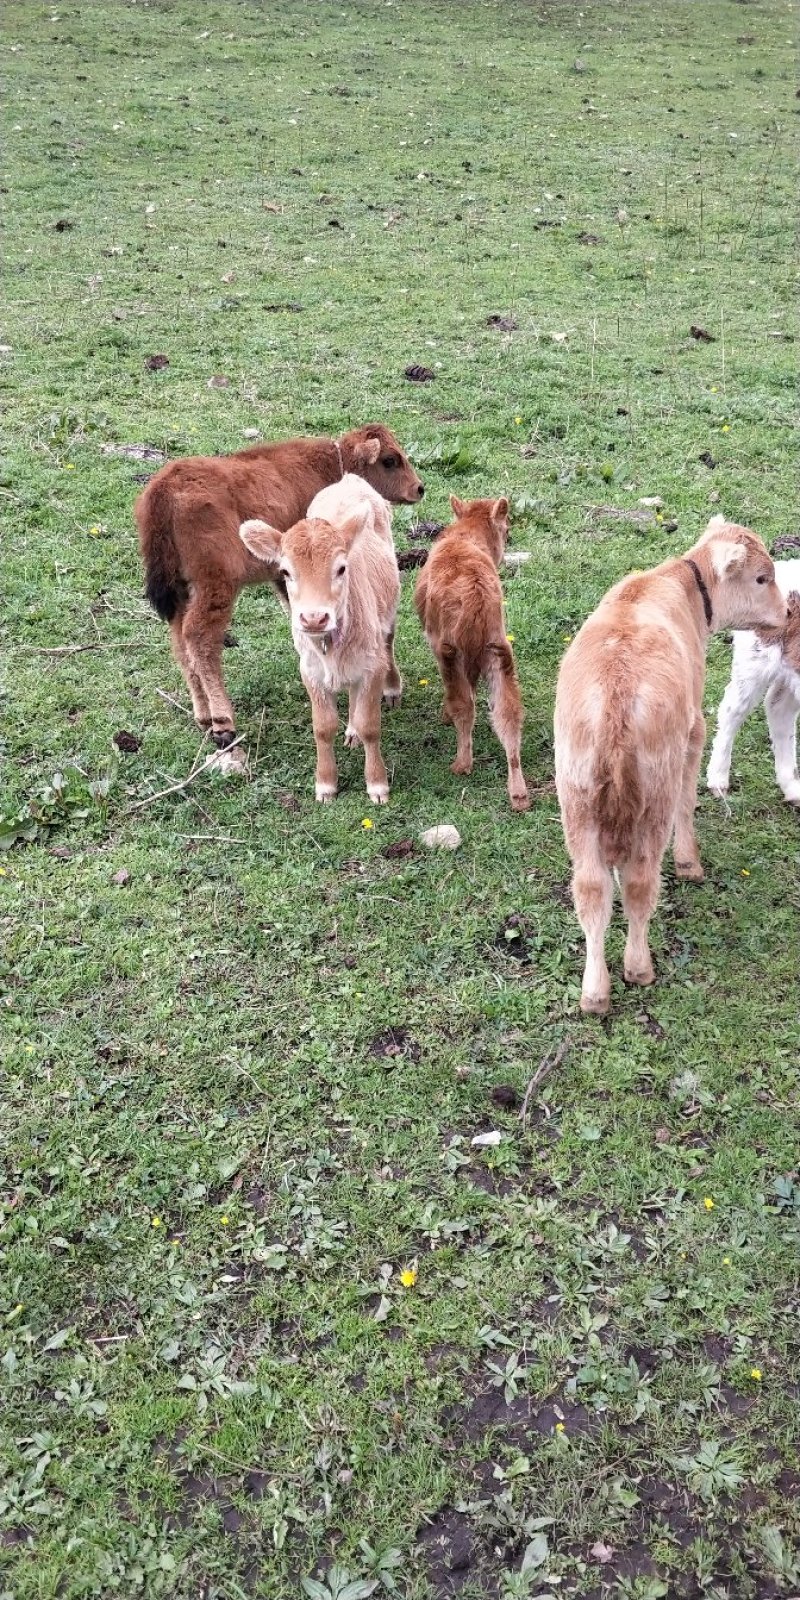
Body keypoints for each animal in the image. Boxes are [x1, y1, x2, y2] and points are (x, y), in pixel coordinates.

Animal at [136, 425, 425, 748]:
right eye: (390, 460)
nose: (419, 488)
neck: (332, 464)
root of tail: (162, 490)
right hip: (214, 587)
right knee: (199, 638)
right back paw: (223, 722)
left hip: (179, 592)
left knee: (180, 643)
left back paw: (203, 716)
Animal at [236, 473, 400, 800]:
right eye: (286, 572)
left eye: (341, 568)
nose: (314, 618)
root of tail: (349, 478)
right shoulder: (310, 670)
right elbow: (323, 727)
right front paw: (326, 784)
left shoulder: (372, 666)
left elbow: (370, 725)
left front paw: (377, 784)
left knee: (388, 641)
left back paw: (391, 690)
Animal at [412, 489, 531, 812]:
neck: (466, 537)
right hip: (499, 656)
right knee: (508, 714)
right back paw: (519, 794)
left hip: (451, 654)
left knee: (464, 705)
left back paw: (461, 764)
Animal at [553, 512, 784, 1011]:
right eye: (762, 578)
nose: (788, 614)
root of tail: (616, 696)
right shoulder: (694, 729)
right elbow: (689, 800)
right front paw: (690, 862)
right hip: (652, 796)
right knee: (640, 882)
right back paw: (638, 968)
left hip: (576, 799)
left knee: (592, 890)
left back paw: (594, 991)